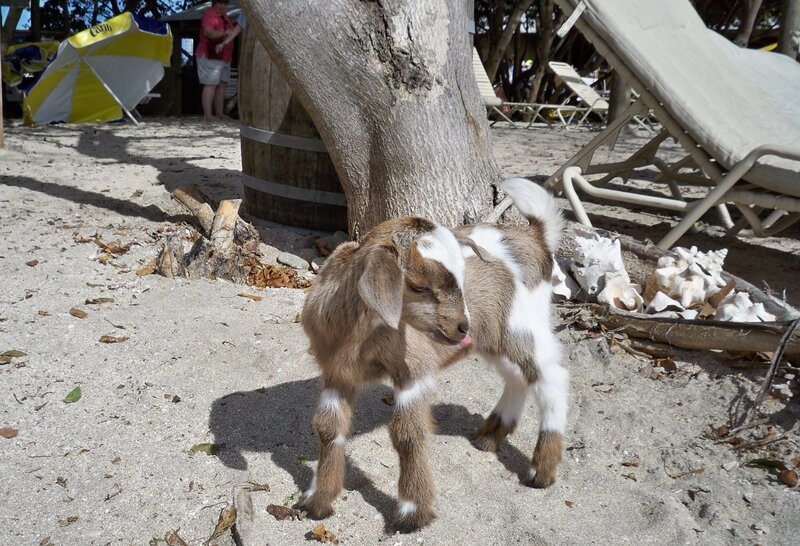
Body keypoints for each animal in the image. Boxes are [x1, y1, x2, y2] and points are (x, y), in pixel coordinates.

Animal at [298, 178, 568, 531]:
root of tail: (535, 236)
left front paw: (412, 512)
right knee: (518, 377)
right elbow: (328, 427)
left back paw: (540, 471)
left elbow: (407, 434)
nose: (462, 327)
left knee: (551, 378)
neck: (361, 337)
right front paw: (318, 501)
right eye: (419, 287)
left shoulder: (414, 369)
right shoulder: (336, 373)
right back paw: (490, 436)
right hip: (494, 338)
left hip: (524, 326)